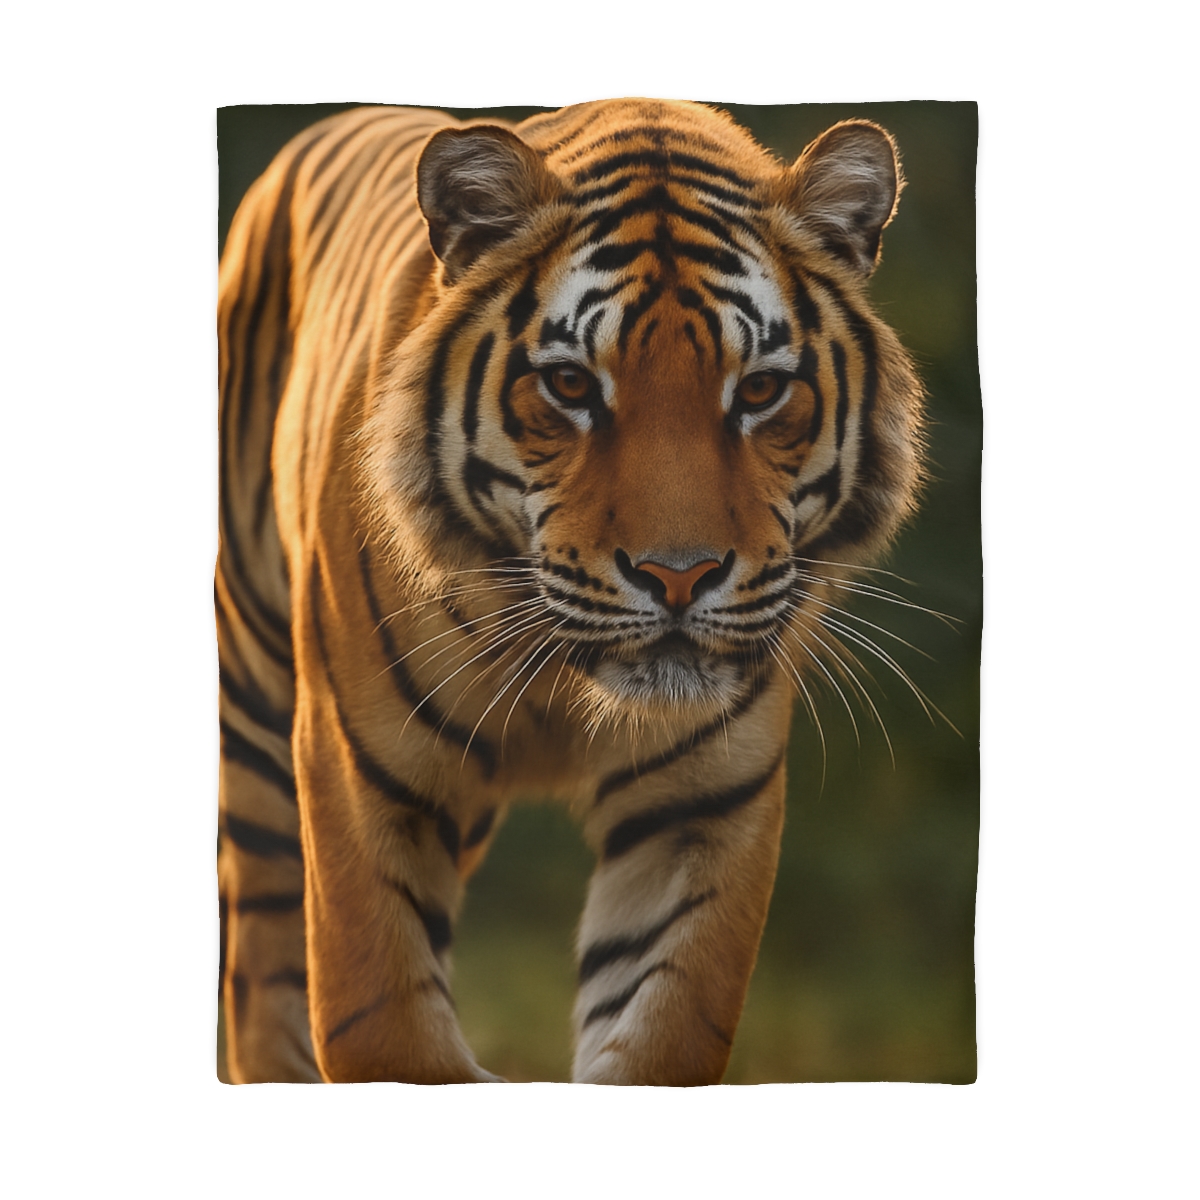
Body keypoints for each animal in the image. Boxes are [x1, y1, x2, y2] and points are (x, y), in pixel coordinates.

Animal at [217, 99, 925, 1085]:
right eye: (569, 384)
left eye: (759, 391)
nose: (679, 576)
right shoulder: (364, 776)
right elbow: (388, 1028)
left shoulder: (701, 807)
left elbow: (660, 1032)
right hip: (255, 730)